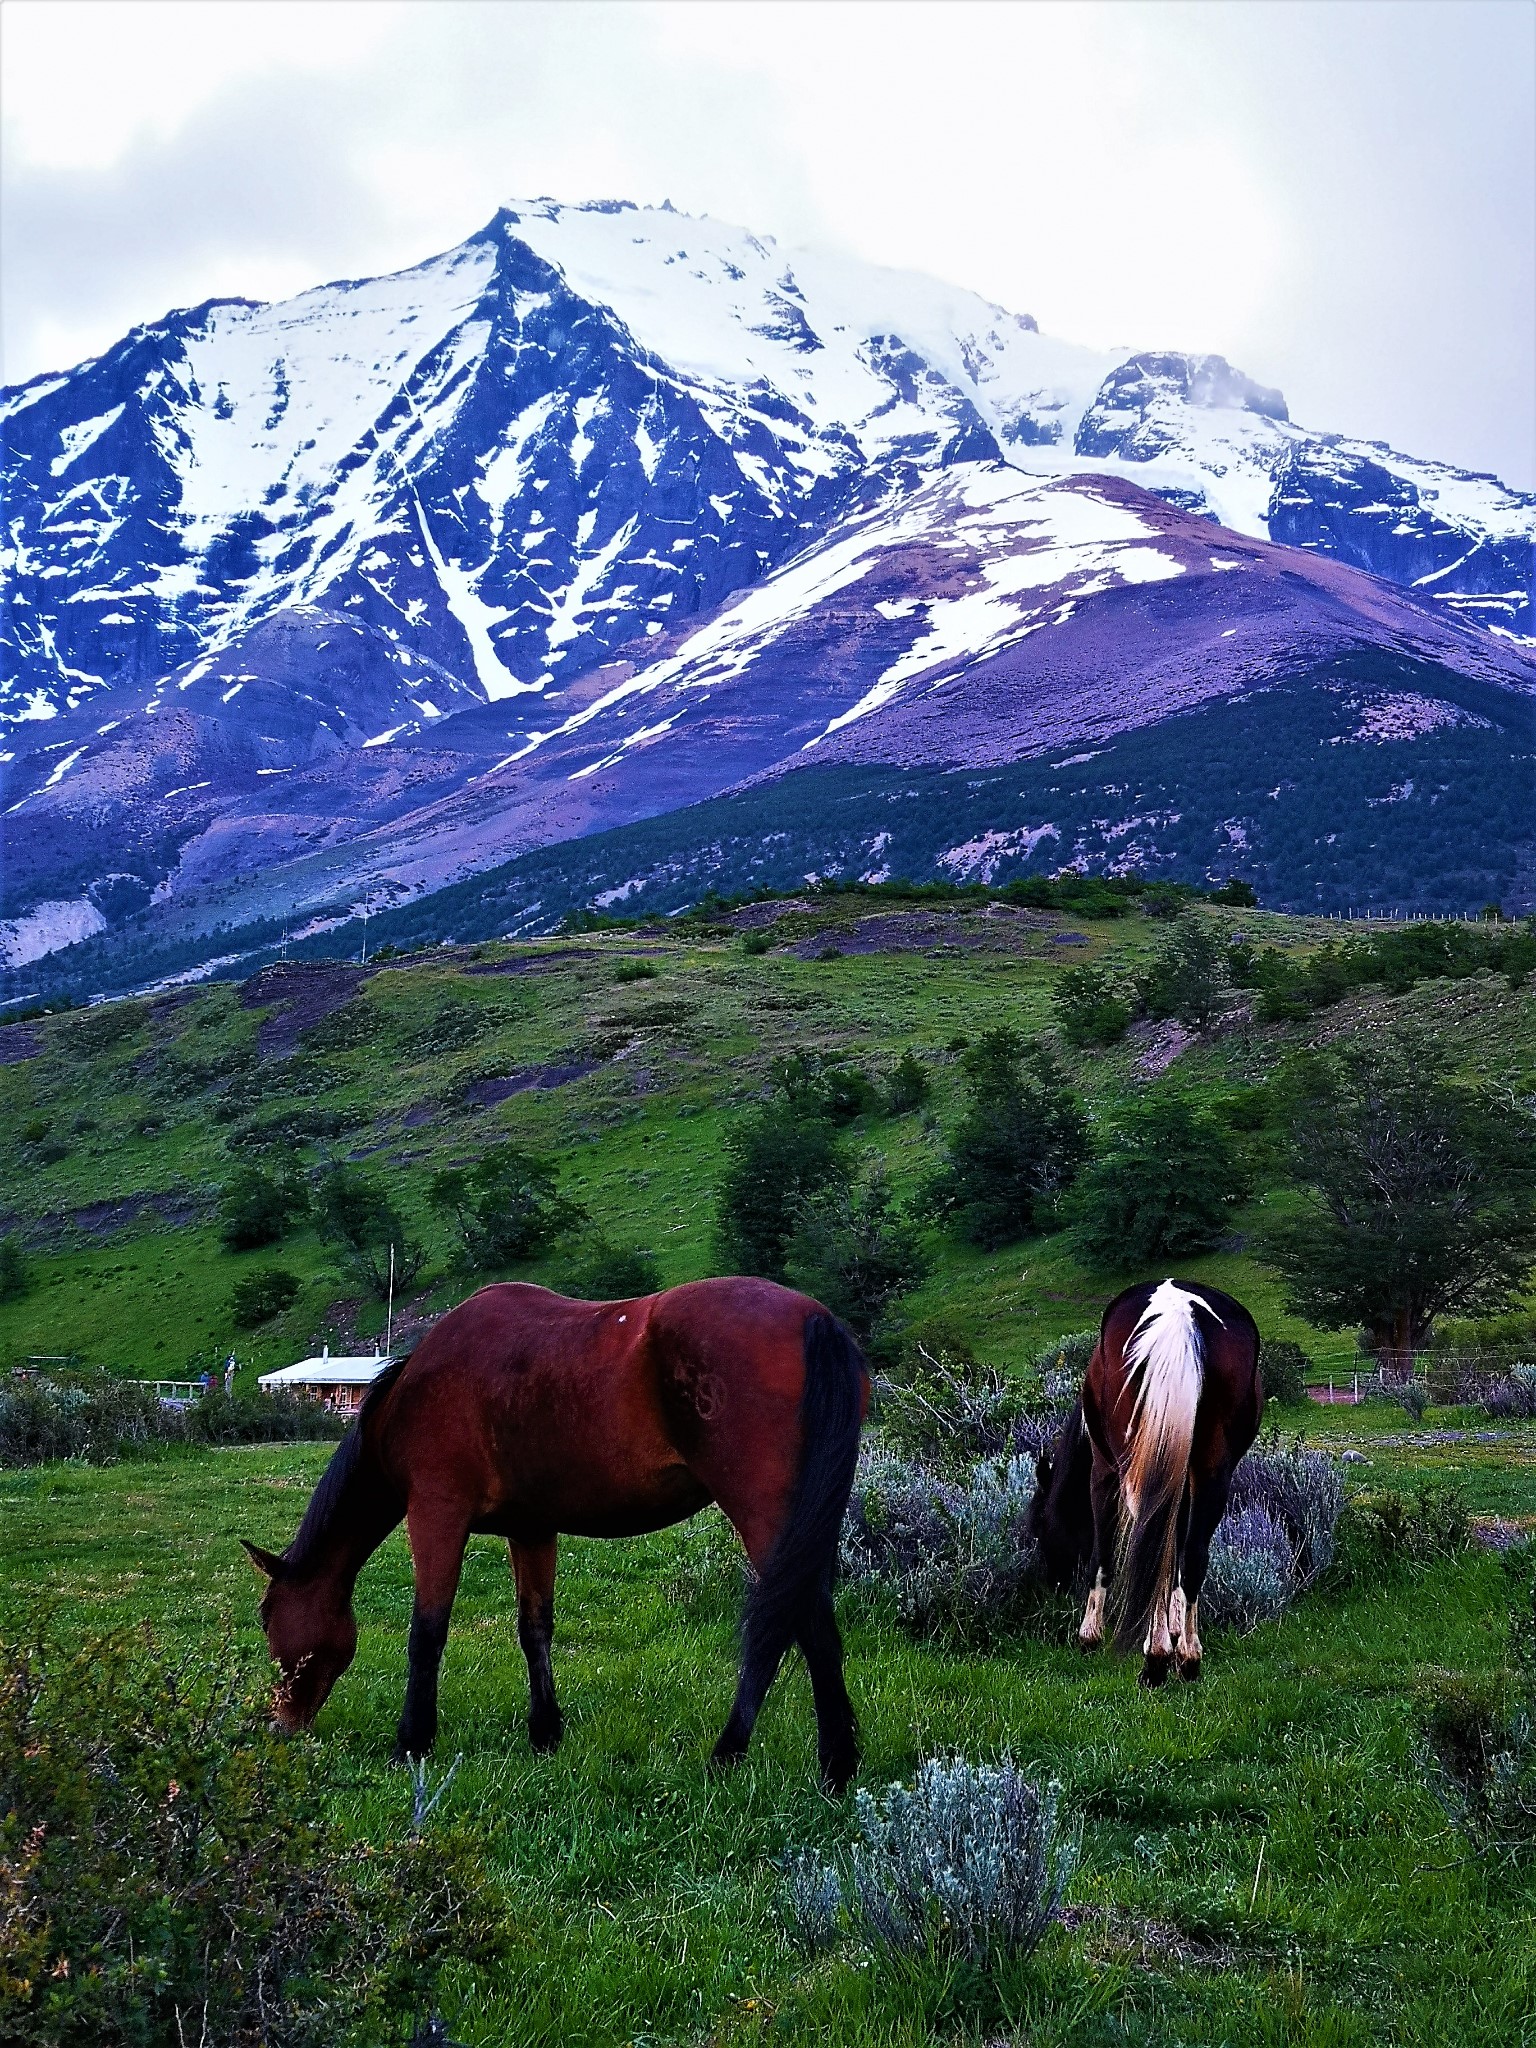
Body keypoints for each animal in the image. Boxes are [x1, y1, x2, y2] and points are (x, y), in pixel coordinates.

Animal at [240, 1277, 868, 1794]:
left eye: (267, 1617)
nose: (280, 1724)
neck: (417, 1389)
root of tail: (815, 1318)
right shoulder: (532, 1529)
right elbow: (534, 1630)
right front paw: (545, 1734)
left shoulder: (436, 1514)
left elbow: (427, 1633)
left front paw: (412, 1743)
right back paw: (833, 1764)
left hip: (767, 1519)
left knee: (798, 1629)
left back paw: (761, 1757)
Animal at [1028, 1277, 1269, 1679]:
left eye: (1041, 1525)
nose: (1052, 1583)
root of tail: (1178, 1314)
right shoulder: (1182, 1482)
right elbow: (1174, 1551)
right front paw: (1173, 1629)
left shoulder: (1103, 1471)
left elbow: (1104, 1552)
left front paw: (1090, 1635)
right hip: (1211, 1473)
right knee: (1191, 1556)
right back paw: (1186, 1657)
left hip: (1132, 1473)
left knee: (1146, 1536)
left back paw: (1154, 1655)